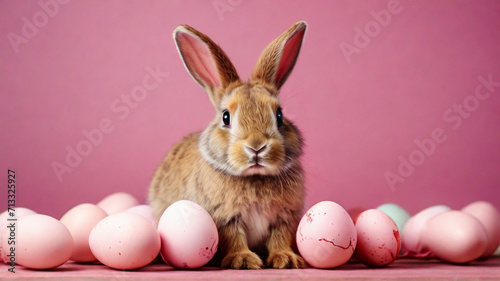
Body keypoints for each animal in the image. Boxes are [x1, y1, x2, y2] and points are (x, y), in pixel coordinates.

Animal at [146, 20, 306, 268]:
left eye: (279, 115)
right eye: (225, 117)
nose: (257, 146)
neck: (254, 177)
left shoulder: (284, 217)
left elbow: (280, 238)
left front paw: (286, 259)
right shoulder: (224, 218)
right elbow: (234, 238)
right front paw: (243, 260)